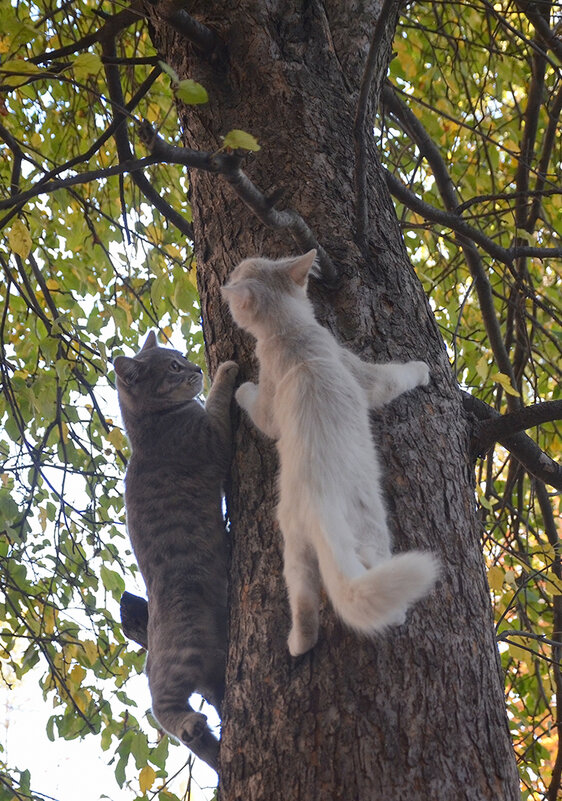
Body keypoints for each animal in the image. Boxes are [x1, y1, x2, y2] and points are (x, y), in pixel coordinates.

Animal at [112, 332, 237, 768]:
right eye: (172, 366)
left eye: (181, 356)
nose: (198, 367)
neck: (151, 426)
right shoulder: (214, 437)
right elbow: (217, 400)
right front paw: (225, 371)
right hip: (181, 655)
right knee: (161, 707)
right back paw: (188, 724)